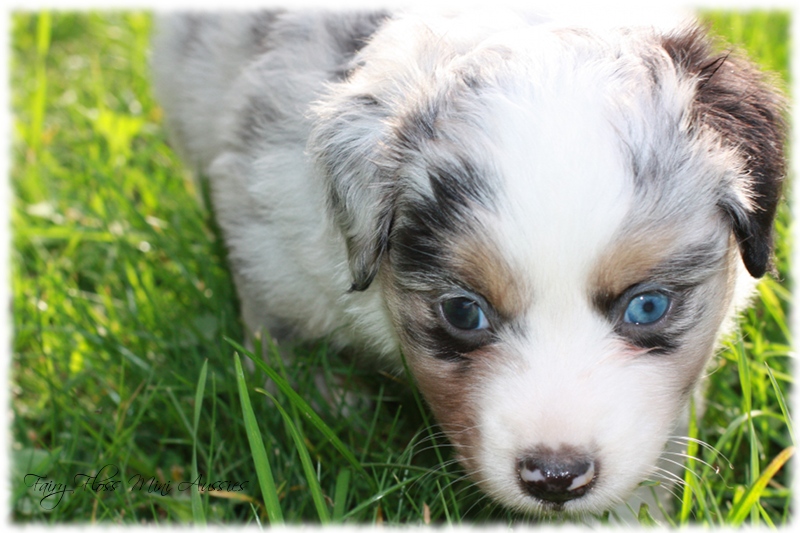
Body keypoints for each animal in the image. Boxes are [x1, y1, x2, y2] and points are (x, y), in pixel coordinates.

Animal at [152, 7, 788, 516]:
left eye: (648, 306)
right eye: (463, 313)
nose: (555, 478)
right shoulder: (267, 237)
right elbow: (283, 348)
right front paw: (317, 407)